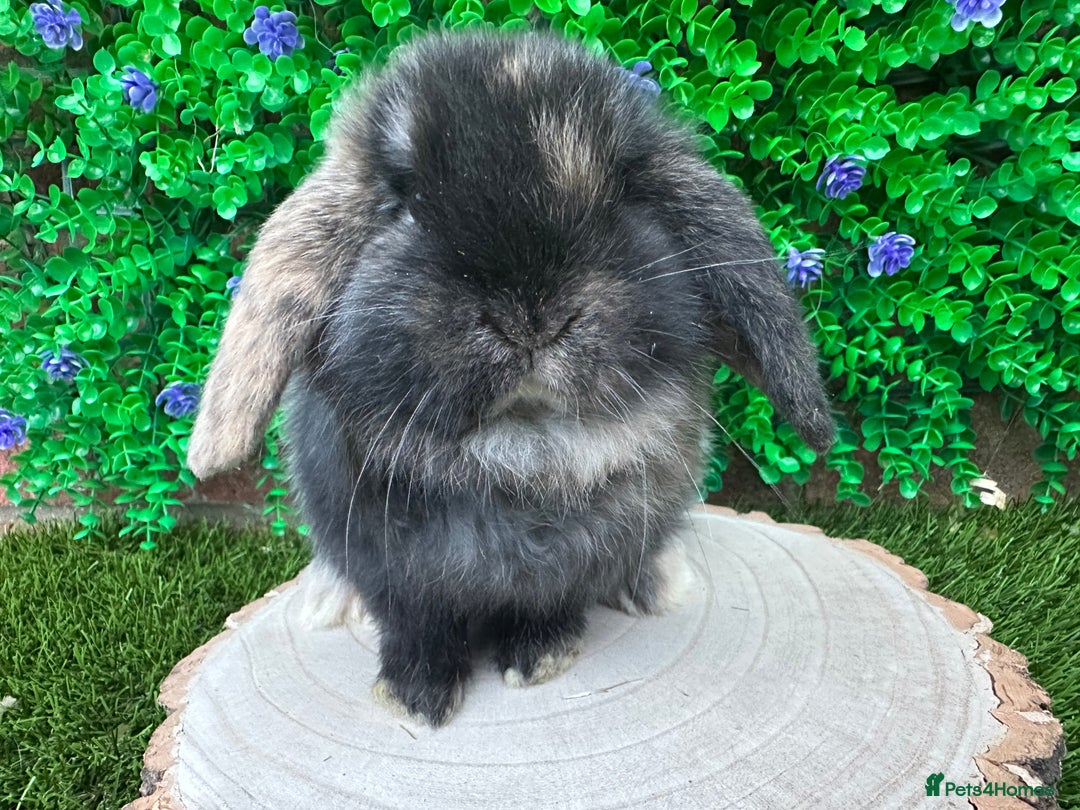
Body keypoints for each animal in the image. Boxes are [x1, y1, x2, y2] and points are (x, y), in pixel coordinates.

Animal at [189, 29, 835, 726]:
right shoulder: (386, 563)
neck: (519, 452)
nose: (530, 318)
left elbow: (548, 606)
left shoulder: (573, 566)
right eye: (403, 204)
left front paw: (539, 659)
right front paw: (414, 696)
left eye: (623, 194)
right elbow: (415, 622)